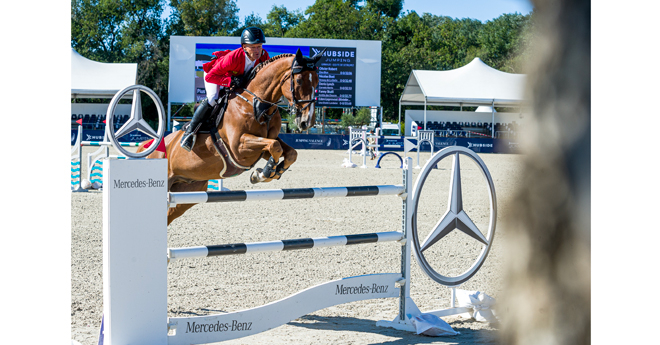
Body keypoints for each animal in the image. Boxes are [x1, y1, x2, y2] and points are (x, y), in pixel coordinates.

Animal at [139, 49, 322, 226]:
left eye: (317, 81)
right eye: (299, 80)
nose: (307, 121)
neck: (256, 104)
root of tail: (148, 147)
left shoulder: (261, 148)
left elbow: (288, 152)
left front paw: (272, 172)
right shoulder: (238, 148)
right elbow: (274, 146)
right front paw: (265, 173)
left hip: (188, 191)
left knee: (169, 215)